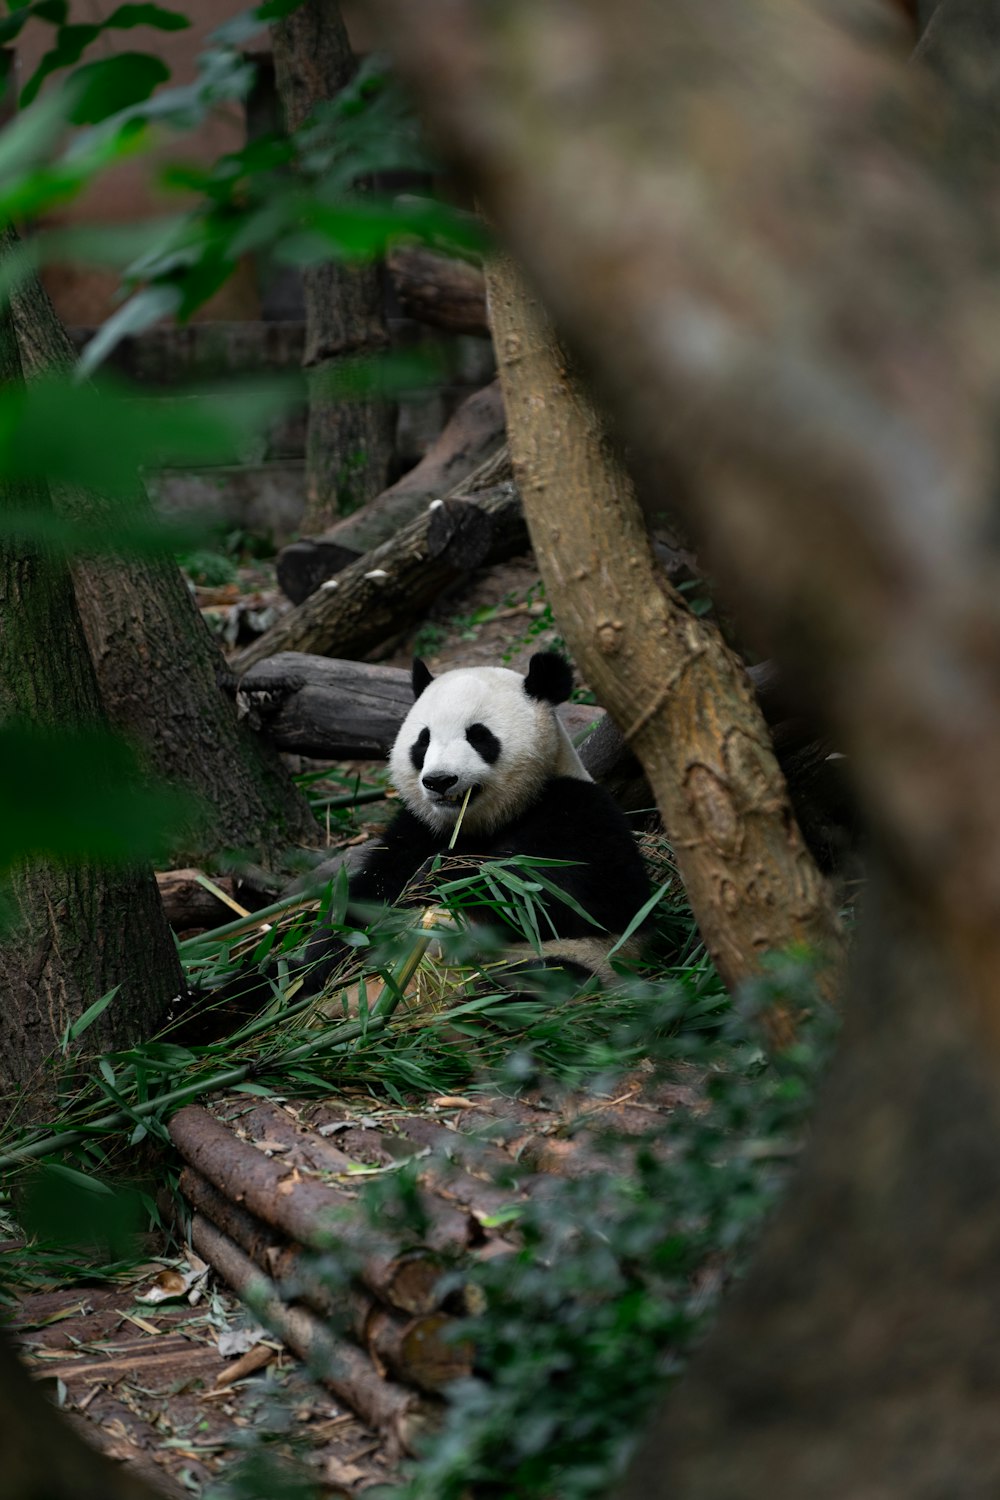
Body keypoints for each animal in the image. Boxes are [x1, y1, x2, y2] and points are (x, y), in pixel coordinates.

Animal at [296, 651, 653, 1002]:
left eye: (479, 735)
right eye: (423, 741)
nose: (439, 780)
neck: (482, 821)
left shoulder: (579, 809)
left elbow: (576, 896)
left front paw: (444, 875)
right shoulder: (418, 828)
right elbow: (364, 900)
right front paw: (317, 965)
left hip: (579, 962)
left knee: (544, 980)